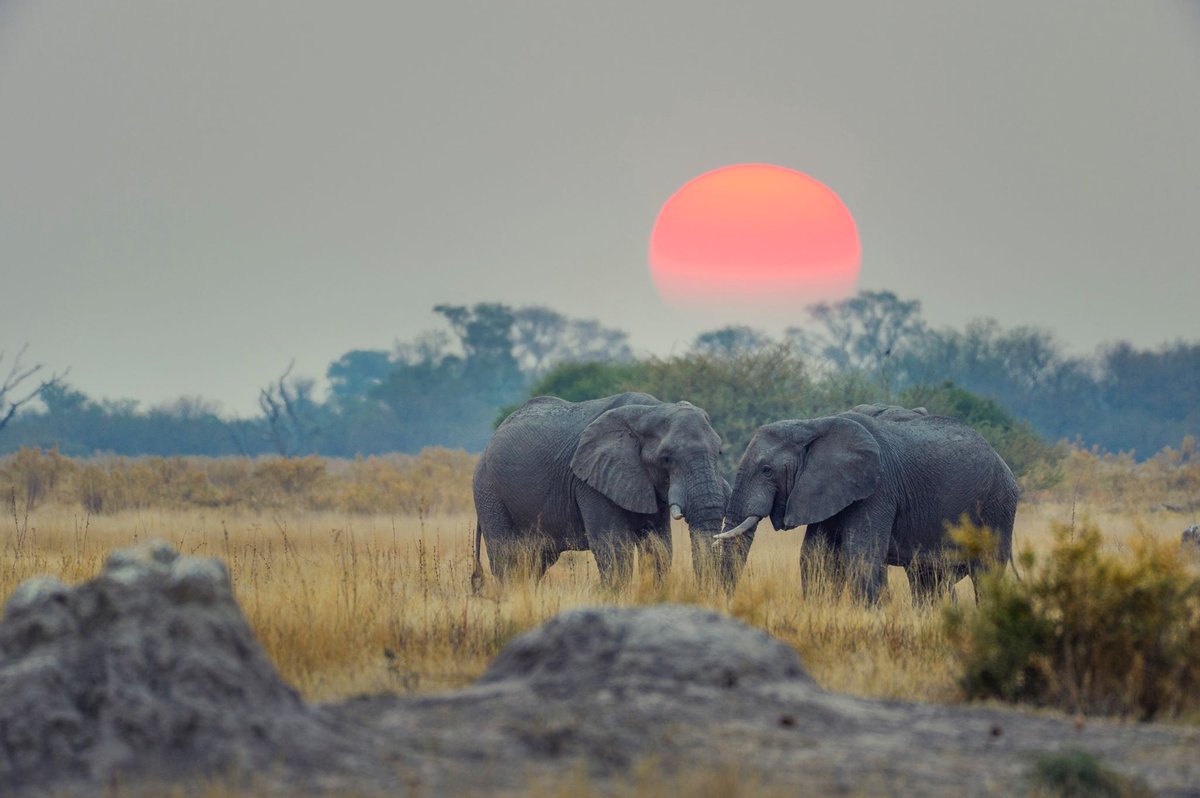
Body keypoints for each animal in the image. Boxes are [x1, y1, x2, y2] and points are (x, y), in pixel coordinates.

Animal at [471, 392, 729, 589]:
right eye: (666, 458)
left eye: (719, 452)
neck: (651, 410)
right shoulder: (590, 481)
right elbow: (614, 547)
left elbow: (659, 546)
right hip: (488, 491)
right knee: (507, 558)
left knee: (535, 562)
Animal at [715, 405, 1018, 604]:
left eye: (766, 470)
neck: (813, 424)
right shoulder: (826, 489)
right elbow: (816, 555)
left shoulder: (878, 489)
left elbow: (861, 553)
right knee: (928, 578)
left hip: (997, 506)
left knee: (986, 572)